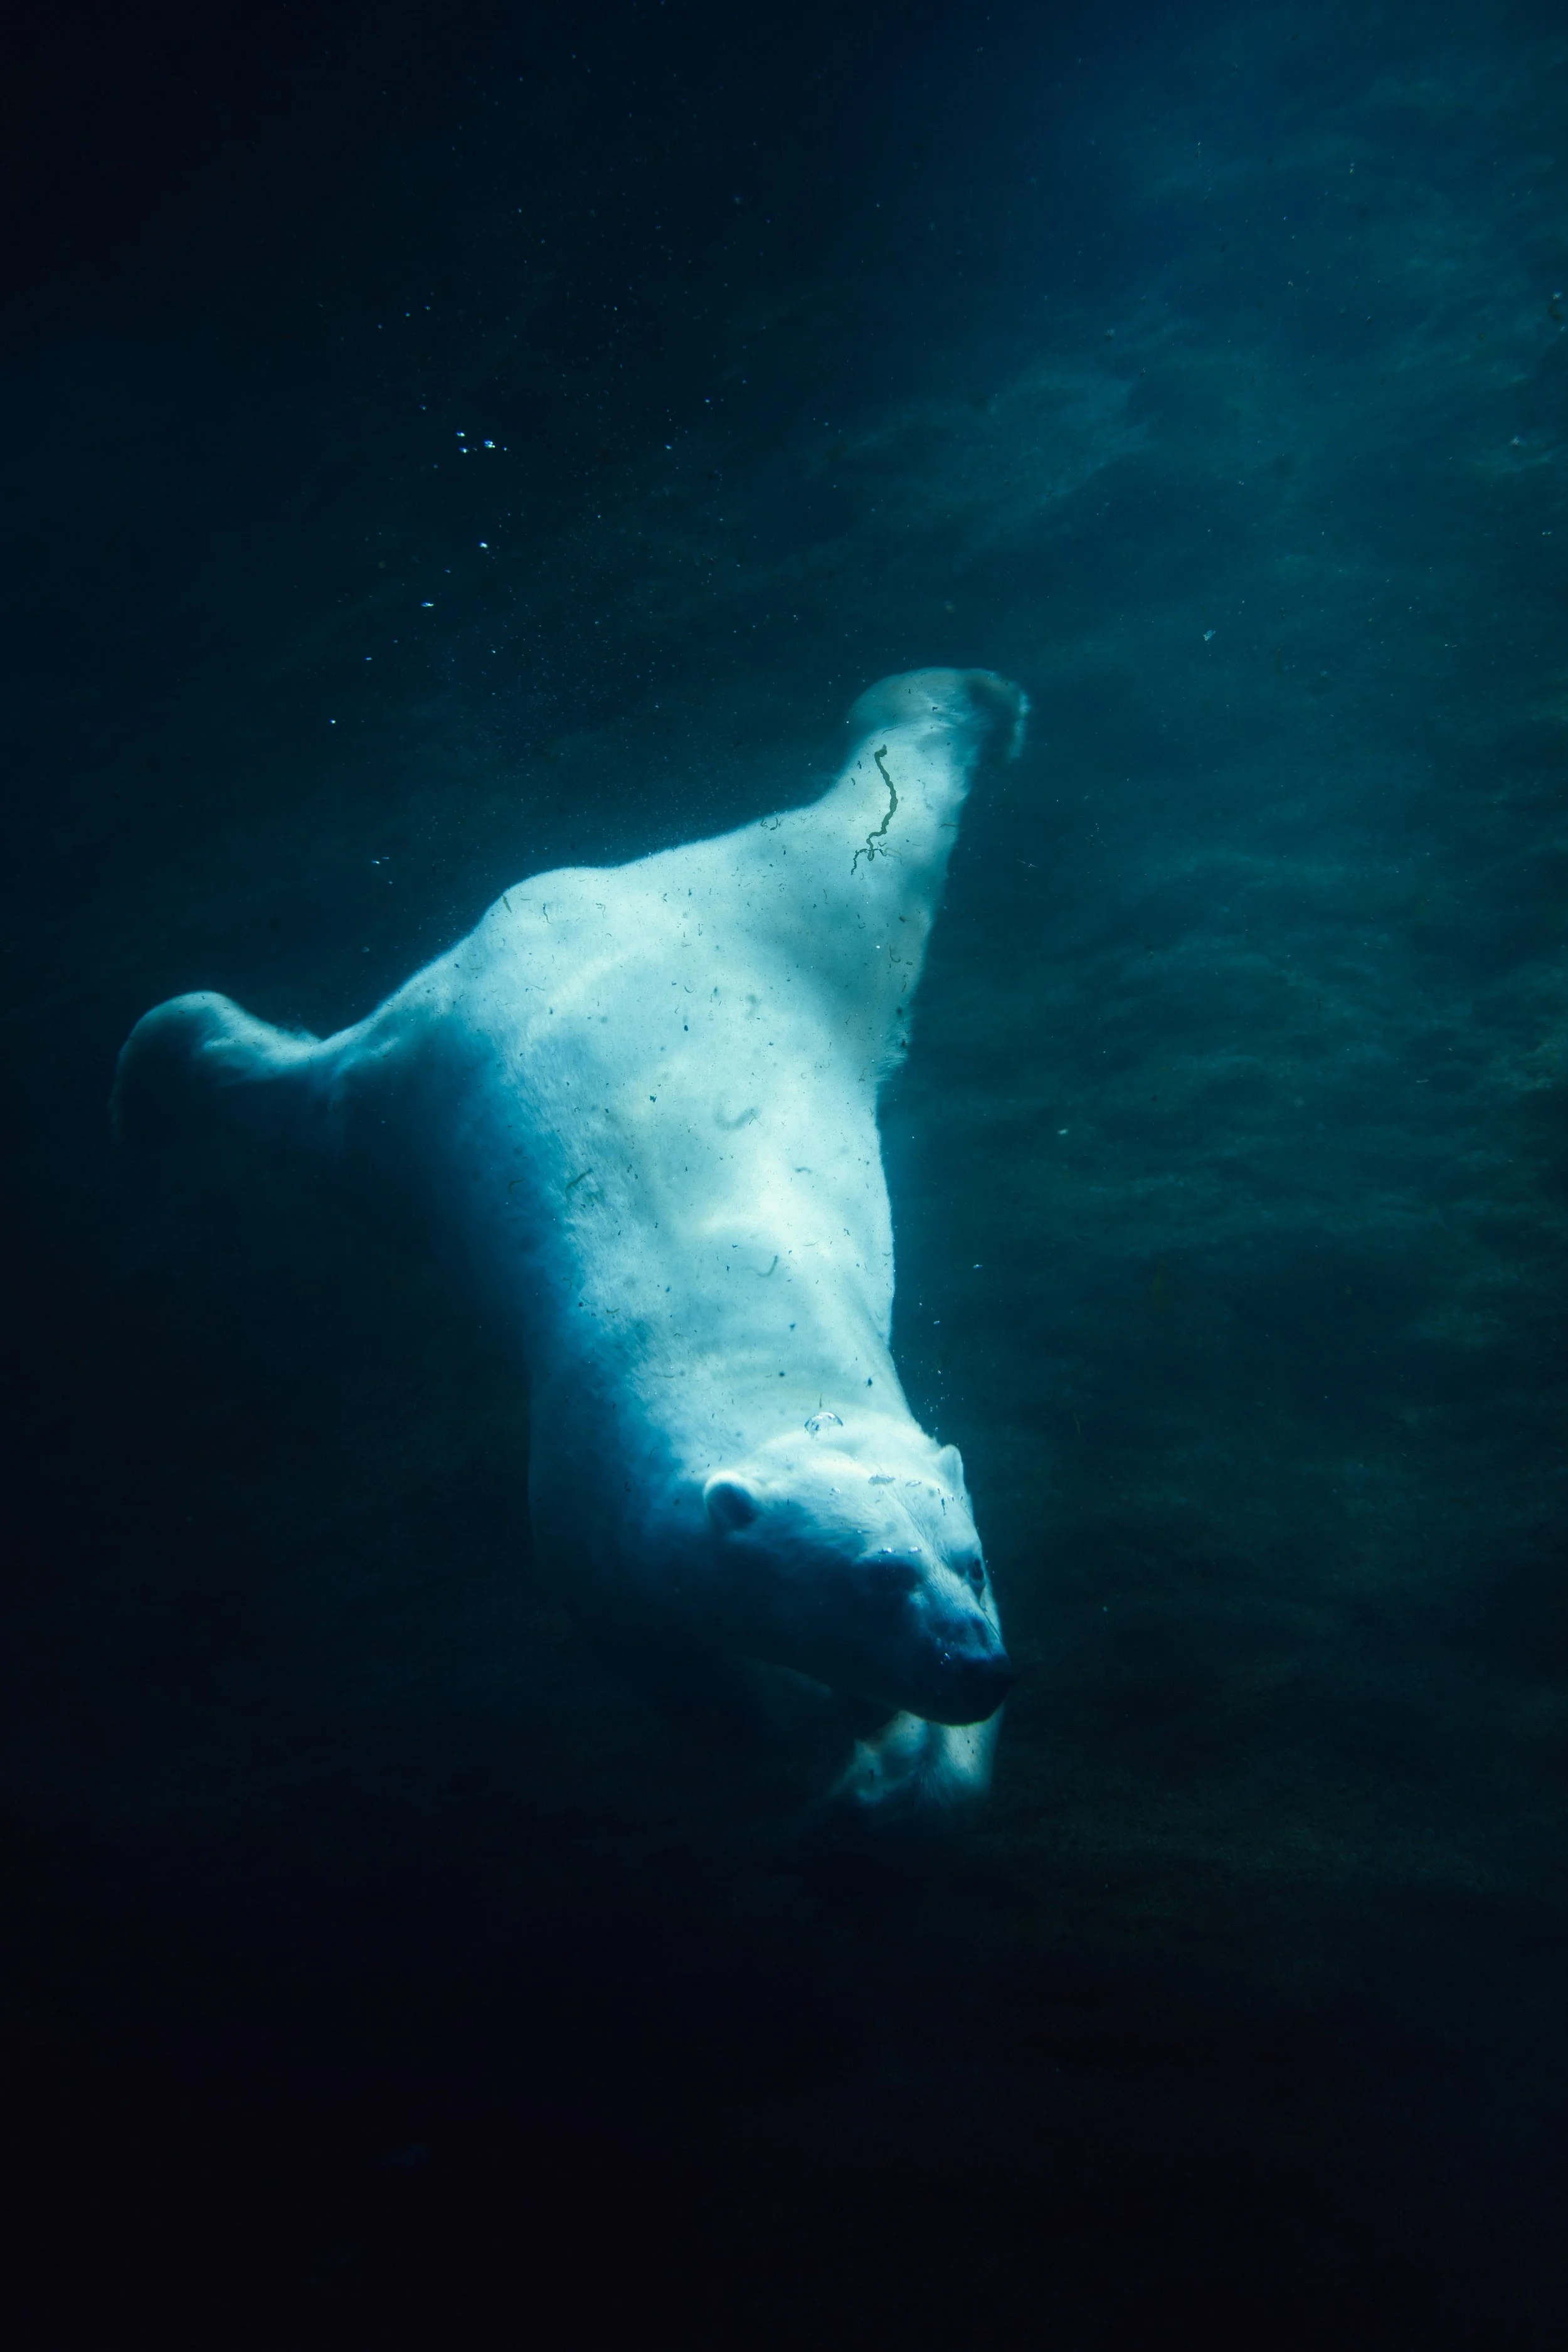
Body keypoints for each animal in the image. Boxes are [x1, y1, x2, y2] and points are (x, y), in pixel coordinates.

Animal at [114, 667, 1028, 1831]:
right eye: (877, 1577)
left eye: (973, 1563)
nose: (977, 1664)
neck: (760, 1354)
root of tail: (567, 898)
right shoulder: (591, 1507)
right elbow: (685, 1668)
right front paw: (831, 1731)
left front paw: (903, 1761)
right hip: (420, 1100)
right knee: (303, 1096)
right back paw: (154, 1078)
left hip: (797, 934)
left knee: (881, 835)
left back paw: (962, 703)